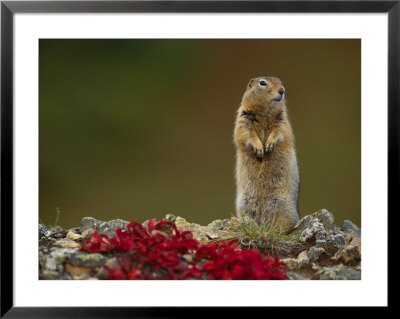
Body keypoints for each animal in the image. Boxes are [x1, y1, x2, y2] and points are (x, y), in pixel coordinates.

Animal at [233, 76, 298, 231]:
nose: (282, 90)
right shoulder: (243, 118)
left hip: (280, 202)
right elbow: (246, 134)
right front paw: (259, 148)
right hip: (244, 202)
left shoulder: (283, 120)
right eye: (262, 83)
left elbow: (280, 132)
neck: (265, 112)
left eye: (281, 82)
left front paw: (269, 145)